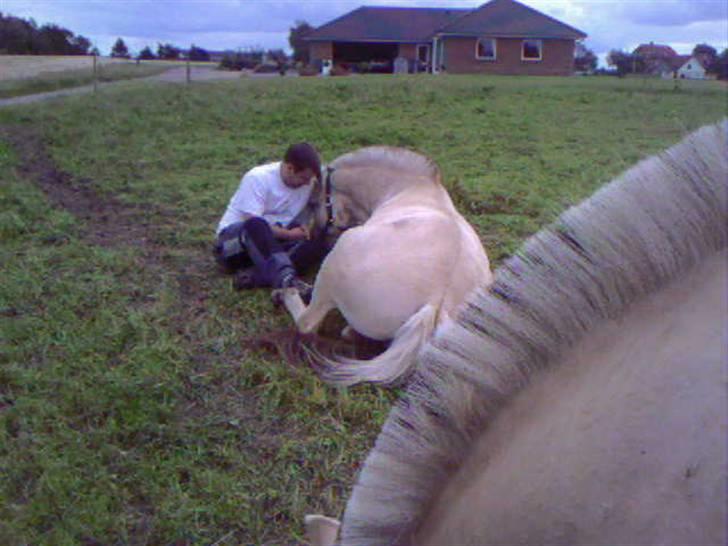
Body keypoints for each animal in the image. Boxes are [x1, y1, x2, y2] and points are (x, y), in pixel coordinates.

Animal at [304, 120, 724, 544]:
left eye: (314, 200)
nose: (313, 233)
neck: (410, 189)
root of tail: (434, 301)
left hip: (340, 259)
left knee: (308, 320)